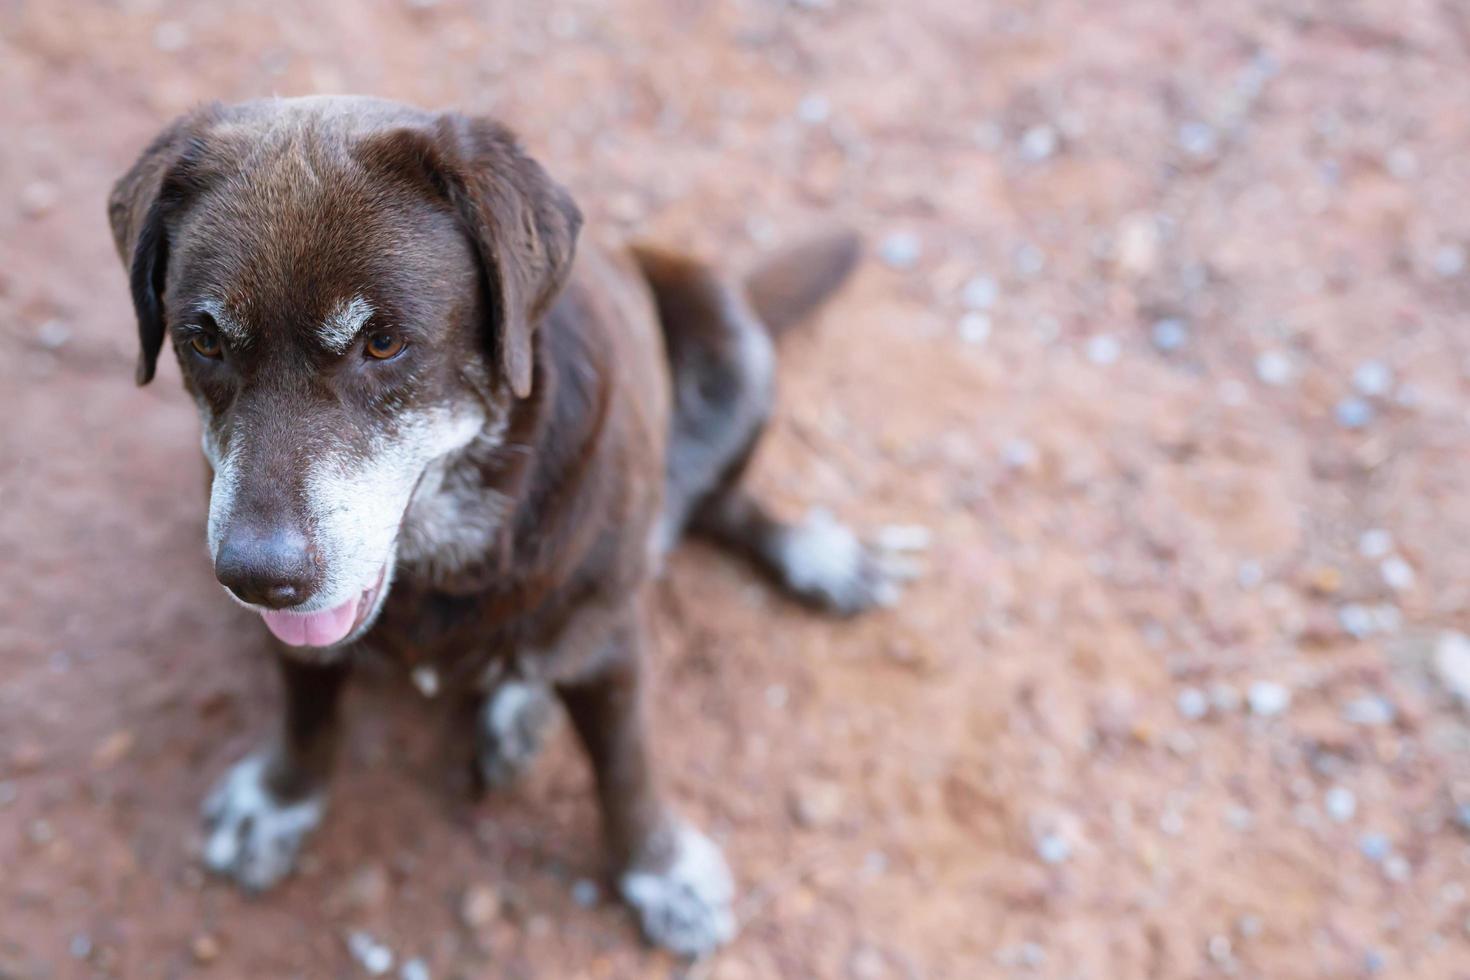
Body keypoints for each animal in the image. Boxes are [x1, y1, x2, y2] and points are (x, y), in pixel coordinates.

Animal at [106, 99, 917, 957]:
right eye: (204, 341)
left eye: (383, 342)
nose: (258, 575)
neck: (445, 549)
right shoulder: (297, 637)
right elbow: (307, 710)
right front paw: (278, 799)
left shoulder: (610, 637)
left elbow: (627, 765)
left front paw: (660, 870)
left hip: (729, 339)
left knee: (703, 507)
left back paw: (815, 556)